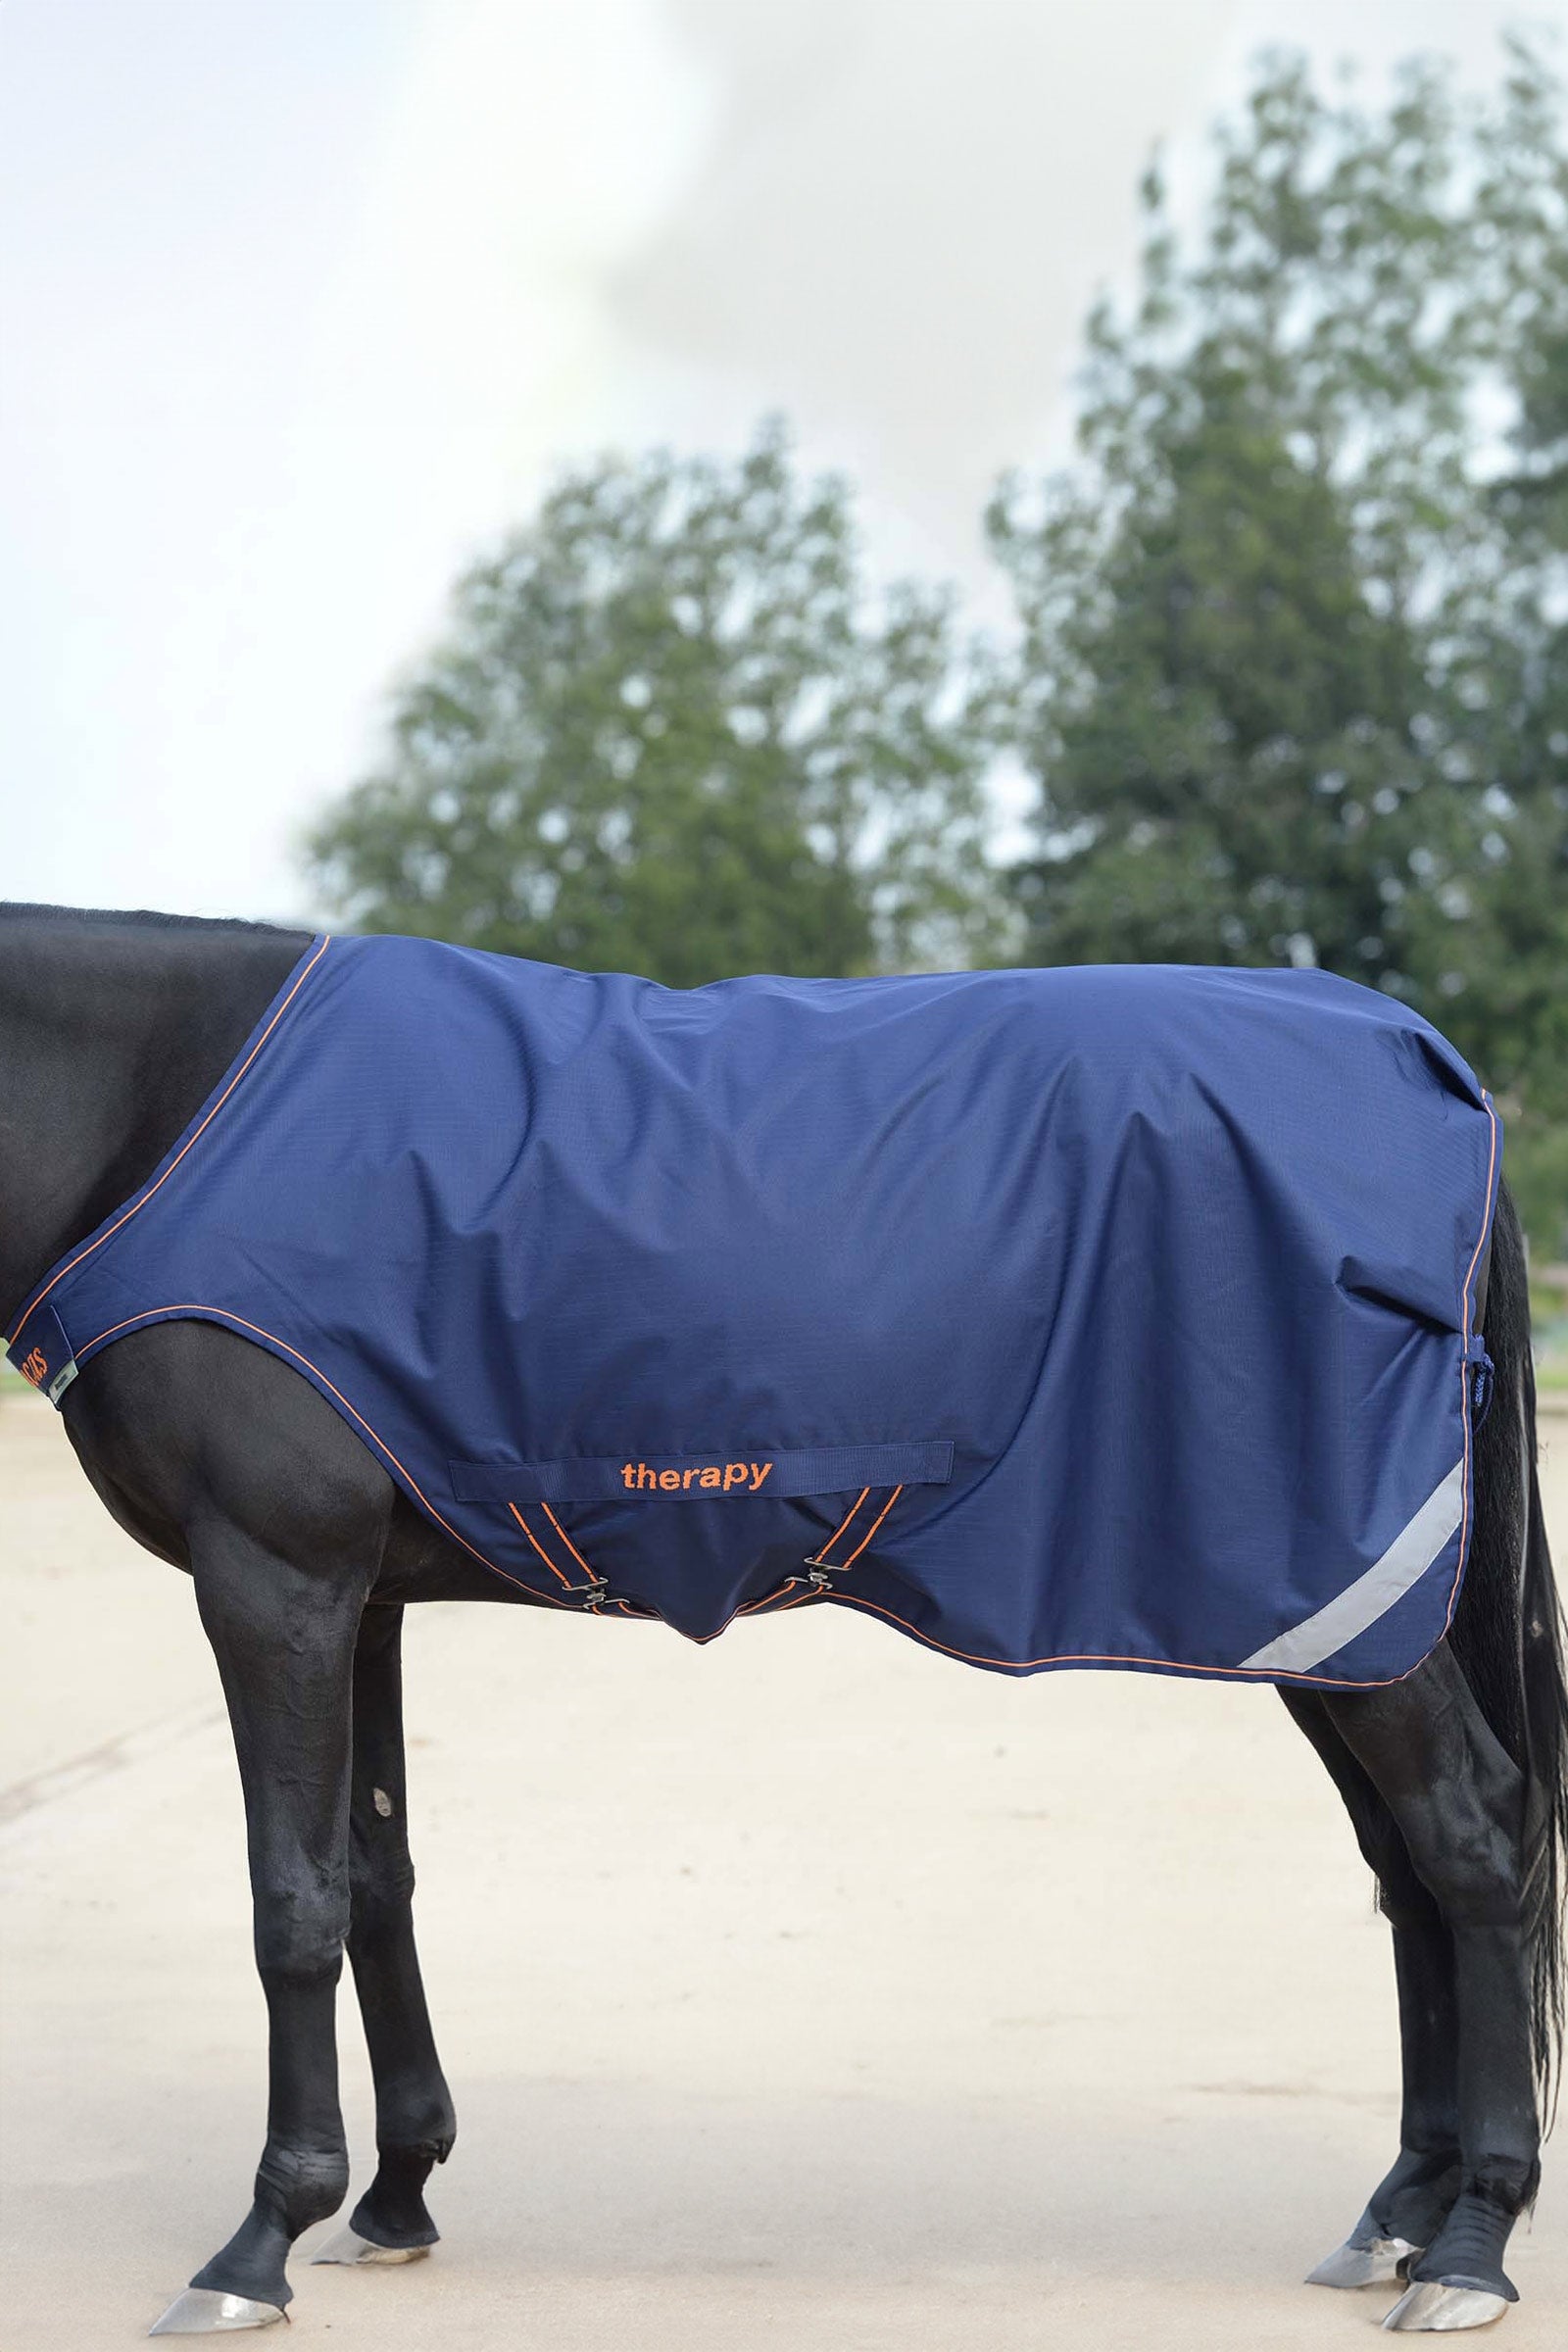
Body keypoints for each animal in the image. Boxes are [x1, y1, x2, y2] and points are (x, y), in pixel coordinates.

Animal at [2, 901, 1563, 2338]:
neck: (175, 1113)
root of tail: (1424, 1059)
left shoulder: (272, 1582)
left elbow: (292, 1902)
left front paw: (261, 2239)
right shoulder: (359, 1594)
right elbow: (376, 1879)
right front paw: (395, 2197)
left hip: (1335, 1598)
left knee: (1475, 1840)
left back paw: (1473, 2243)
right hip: (1333, 1624)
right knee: (1405, 1865)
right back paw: (1398, 2212)